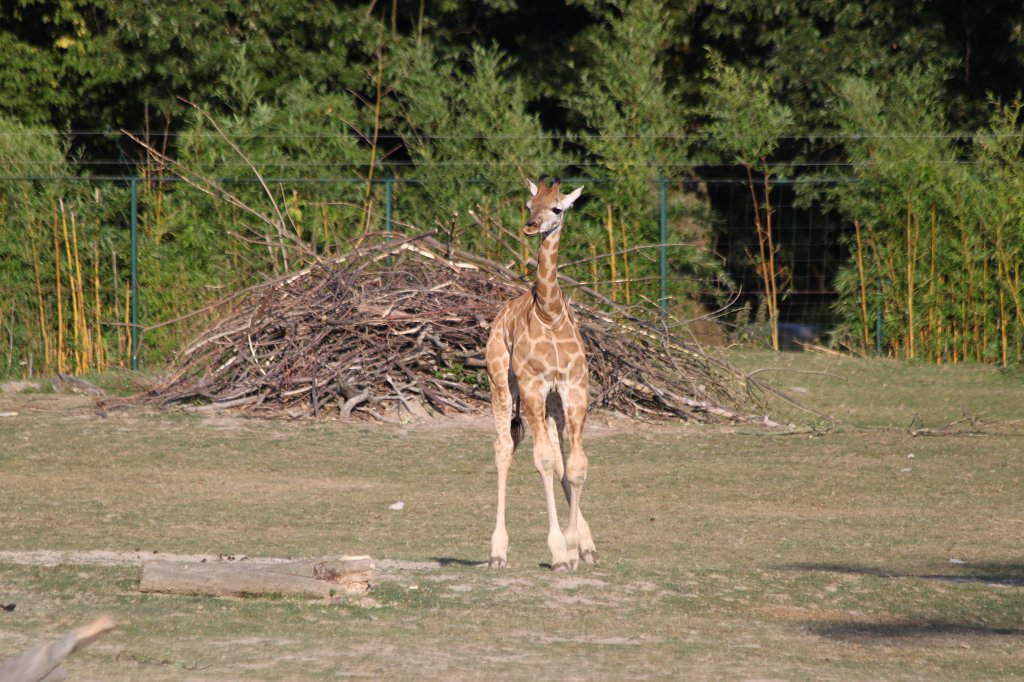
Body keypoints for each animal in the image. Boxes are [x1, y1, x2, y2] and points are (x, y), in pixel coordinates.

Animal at [485, 178, 597, 572]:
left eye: (557, 208)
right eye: (529, 204)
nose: (531, 226)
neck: (550, 314)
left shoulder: (574, 388)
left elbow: (575, 466)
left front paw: (576, 546)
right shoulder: (533, 386)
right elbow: (544, 461)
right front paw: (560, 552)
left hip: (553, 406)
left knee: (559, 457)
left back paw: (585, 544)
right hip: (501, 382)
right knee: (504, 448)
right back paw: (497, 552)